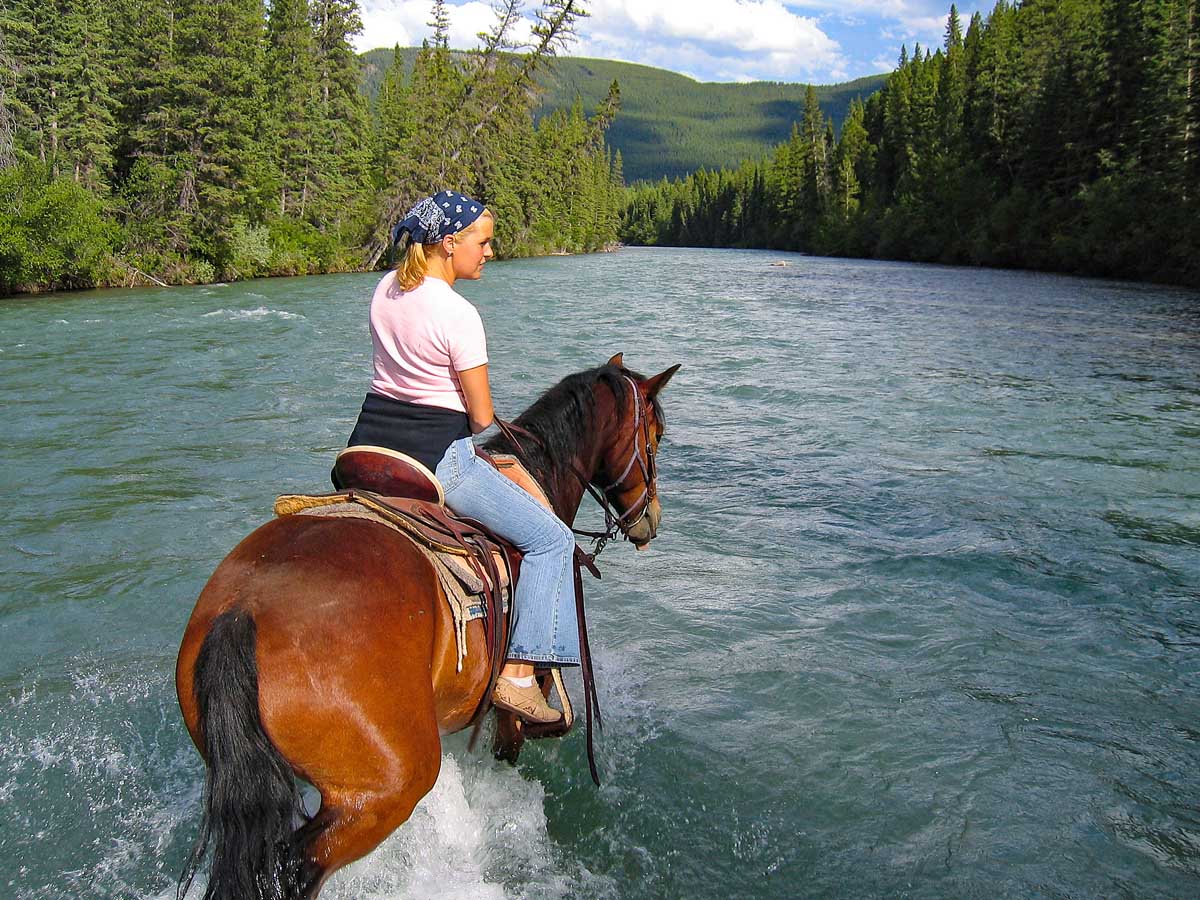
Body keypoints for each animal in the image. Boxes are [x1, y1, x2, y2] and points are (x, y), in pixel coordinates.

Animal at [175, 357, 681, 900]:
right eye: (655, 435)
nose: (649, 518)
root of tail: (243, 610)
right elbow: (523, 732)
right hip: (385, 791)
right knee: (295, 865)